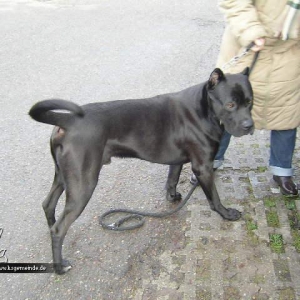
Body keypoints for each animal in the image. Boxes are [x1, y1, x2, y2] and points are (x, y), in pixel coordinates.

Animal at [29, 68, 253, 274]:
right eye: (230, 104)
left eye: (250, 102)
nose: (249, 125)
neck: (204, 109)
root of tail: (67, 120)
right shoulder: (203, 167)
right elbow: (214, 197)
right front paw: (226, 213)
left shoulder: (177, 161)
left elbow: (172, 179)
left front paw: (172, 197)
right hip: (83, 183)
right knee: (60, 228)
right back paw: (60, 266)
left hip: (63, 176)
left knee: (48, 204)